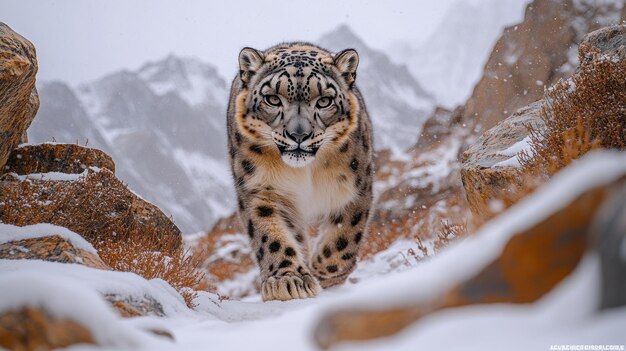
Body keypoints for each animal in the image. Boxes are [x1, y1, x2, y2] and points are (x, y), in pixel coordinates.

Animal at [224, 42, 370, 302]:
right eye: (273, 99)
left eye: (324, 101)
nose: (299, 135)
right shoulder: (260, 189)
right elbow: (270, 236)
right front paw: (289, 281)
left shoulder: (354, 187)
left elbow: (344, 236)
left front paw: (325, 275)